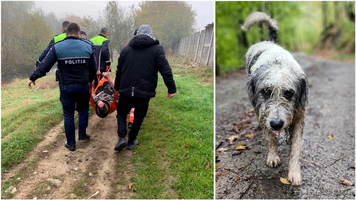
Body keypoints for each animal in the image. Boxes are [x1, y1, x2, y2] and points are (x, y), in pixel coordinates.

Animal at [242, 12, 308, 187]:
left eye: (289, 93)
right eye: (266, 91)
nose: (277, 123)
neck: (278, 62)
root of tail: (268, 42)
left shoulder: (299, 116)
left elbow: (296, 147)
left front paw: (294, 172)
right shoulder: (263, 114)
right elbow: (270, 137)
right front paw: (273, 156)